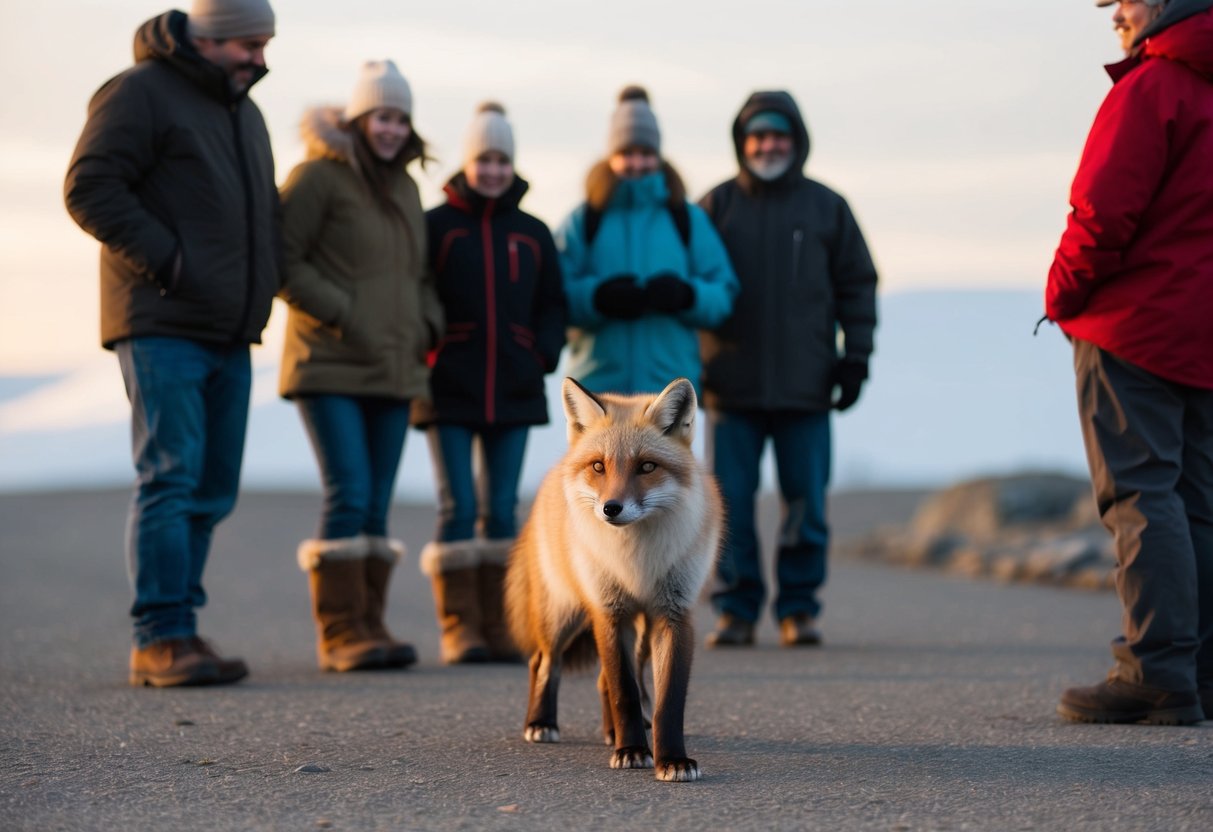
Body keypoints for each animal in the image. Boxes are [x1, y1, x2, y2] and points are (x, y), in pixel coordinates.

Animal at [505, 376, 723, 782]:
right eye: (598, 466)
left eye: (647, 466)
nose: (611, 508)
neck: (635, 562)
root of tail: (556, 468)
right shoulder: (608, 611)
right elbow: (625, 692)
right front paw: (632, 751)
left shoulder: (673, 614)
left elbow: (665, 701)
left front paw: (671, 759)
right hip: (565, 613)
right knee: (543, 662)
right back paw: (541, 722)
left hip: (639, 630)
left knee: (603, 680)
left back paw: (611, 732)